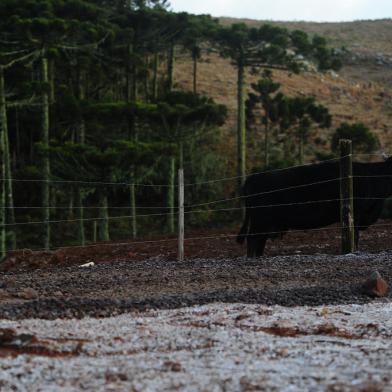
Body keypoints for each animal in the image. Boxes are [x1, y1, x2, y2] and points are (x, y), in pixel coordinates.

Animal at [236, 158, 392, 256]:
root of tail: (253, 177)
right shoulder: (357, 215)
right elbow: (355, 237)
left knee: (258, 241)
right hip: (261, 221)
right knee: (253, 240)